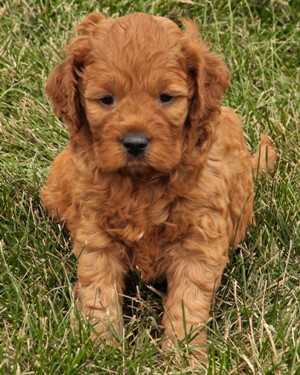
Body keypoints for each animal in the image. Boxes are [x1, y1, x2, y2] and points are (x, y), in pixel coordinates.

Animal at [41, 11, 276, 362]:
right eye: (106, 100)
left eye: (166, 98)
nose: (135, 142)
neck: (143, 184)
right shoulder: (96, 234)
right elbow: (99, 293)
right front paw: (100, 348)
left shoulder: (199, 242)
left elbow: (187, 303)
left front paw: (184, 356)